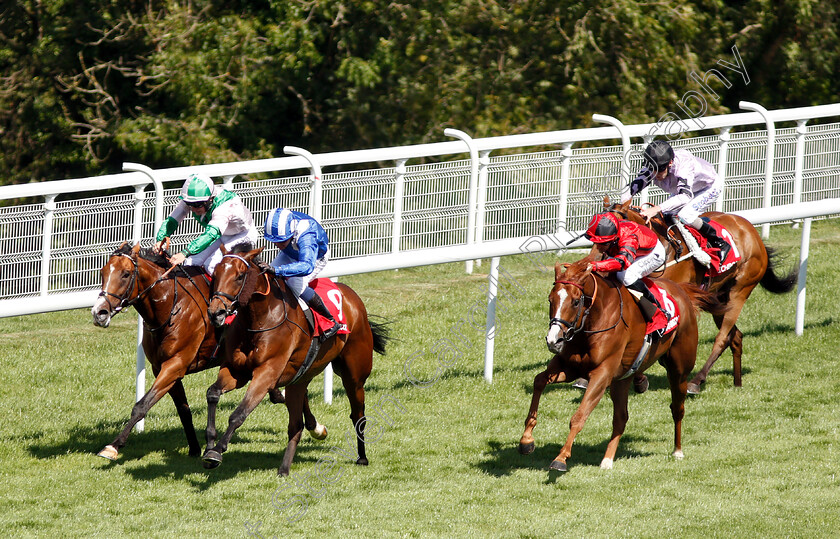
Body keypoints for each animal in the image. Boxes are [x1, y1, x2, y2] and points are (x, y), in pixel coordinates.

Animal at [93, 243, 324, 462]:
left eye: (125, 274)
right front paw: (195, 448)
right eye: (102, 272)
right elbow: (183, 410)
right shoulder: (162, 367)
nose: (99, 313)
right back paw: (310, 421)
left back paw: (315, 426)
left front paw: (113, 446)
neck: (171, 305)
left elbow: (142, 405)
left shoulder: (175, 363)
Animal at [203, 245, 390, 476]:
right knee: (297, 422)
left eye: (239, 276)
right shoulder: (235, 370)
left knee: (357, 414)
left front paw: (217, 450)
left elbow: (239, 414)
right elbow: (212, 393)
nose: (216, 312)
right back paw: (288, 464)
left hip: (354, 375)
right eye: (216, 273)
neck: (259, 318)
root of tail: (352, 297)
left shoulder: (266, 373)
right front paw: (209, 444)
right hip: (302, 375)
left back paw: (361, 456)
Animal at [520, 260, 720, 470]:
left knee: (677, 408)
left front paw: (561, 458)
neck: (594, 320)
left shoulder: (601, 374)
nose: (553, 340)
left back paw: (678, 450)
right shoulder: (569, 367)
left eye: (575, 301)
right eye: (550, 300)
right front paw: (526, 440)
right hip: (622, 379)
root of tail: (682, 290)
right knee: (621, 417)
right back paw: (607, 459)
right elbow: (539, 381)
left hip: (679, 370)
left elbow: (579, 415)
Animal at [608, 198, 796, 392]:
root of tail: (752, 232)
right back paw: (737, 382)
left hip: (740, 290)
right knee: (735, 336)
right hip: (719, 299)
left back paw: (697, 380)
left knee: (723, 337)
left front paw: (641, 376)